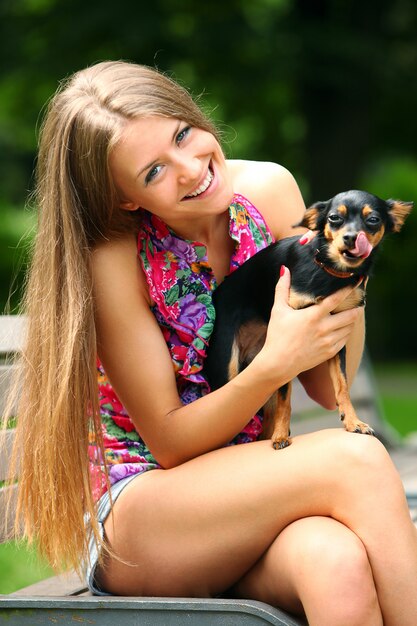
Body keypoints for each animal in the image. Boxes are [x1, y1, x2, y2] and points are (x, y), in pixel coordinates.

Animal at [203, 189, 412, 448]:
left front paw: (353, 421)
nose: (351, 238)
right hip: (228, 370)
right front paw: (281, 435)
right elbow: (286, 398)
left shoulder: (336, 341)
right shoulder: (288, 343)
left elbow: (342, 386)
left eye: (373, 220)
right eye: (334, 218)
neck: (328, 271)